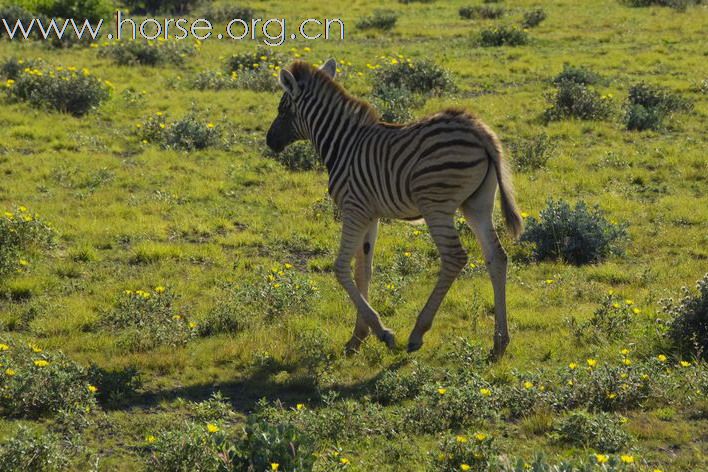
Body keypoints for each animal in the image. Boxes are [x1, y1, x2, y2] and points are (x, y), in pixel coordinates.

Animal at [266, 60, 520, 360]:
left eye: (282, 109)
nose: (269, 142)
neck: (342, 144)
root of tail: (479, 130)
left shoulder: (353, 209)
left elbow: (340, 267)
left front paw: (382, 333)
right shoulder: (369, 214)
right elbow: (363, 270)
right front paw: (358, 337)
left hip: (436, 204)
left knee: (454, 257)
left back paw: (418, 332)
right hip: (478, 204)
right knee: (497, 257)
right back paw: (500, 342)